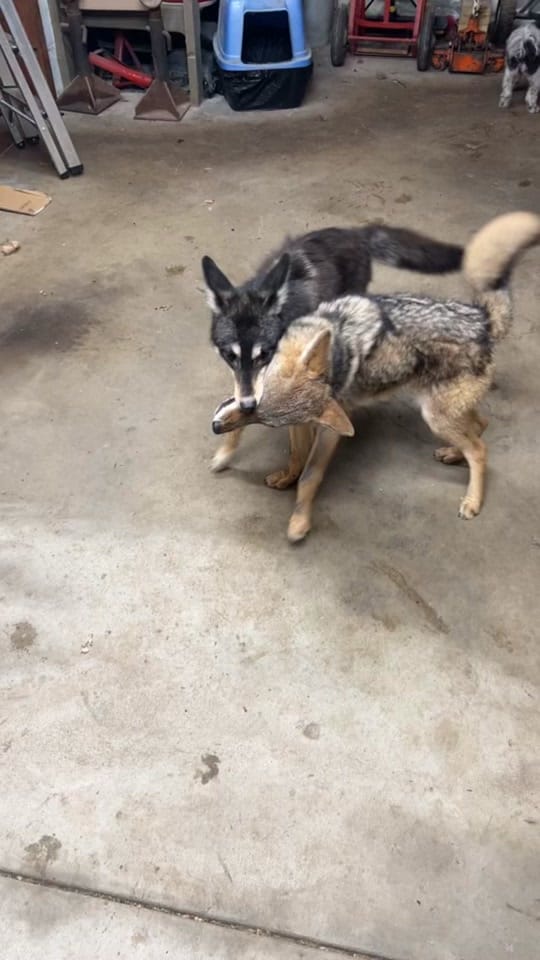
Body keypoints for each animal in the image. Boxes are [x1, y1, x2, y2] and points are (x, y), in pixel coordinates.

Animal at [202, 223, 464, 472]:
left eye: (264, 354)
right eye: (229, 355)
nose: (248, 406)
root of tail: (355, 233)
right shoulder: (243, 378)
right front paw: (225, 453)